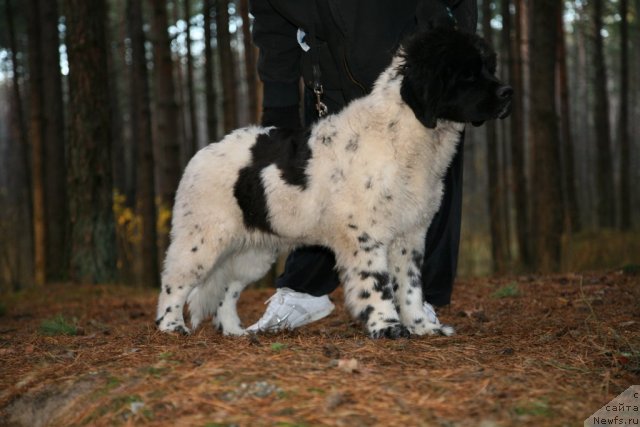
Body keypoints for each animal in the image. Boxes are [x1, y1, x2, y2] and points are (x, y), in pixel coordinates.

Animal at [158, 26, 512, 342]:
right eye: (466, 74)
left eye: (488, 66)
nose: (507, 93)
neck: (402, 136)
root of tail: (201, 153)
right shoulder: (364, 235)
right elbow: (377, 283)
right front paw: (387, 326)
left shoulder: (409, 235)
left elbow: (410, 286)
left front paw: (422, 326)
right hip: (201, 239)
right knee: (173, 280)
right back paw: (171, 327)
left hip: (252, 250)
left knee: (226, 289)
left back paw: (234, 331)